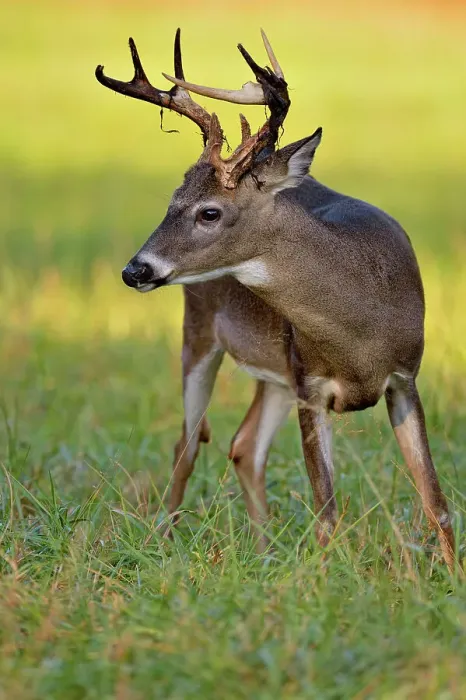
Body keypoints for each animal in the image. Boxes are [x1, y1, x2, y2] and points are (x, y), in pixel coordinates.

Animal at [96, 29, 456, 570]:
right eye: (171, 203)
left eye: (208, 211)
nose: (134, 269)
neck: (361, 330)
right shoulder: (310, 384)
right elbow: (327, 513)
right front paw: (325, 580)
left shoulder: (403, 378)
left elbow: (436, 501)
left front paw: (452, 578)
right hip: (200, 334)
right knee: (187, 444)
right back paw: (165, 543)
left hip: (274, 372)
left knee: (244, 446)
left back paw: (263, 555)